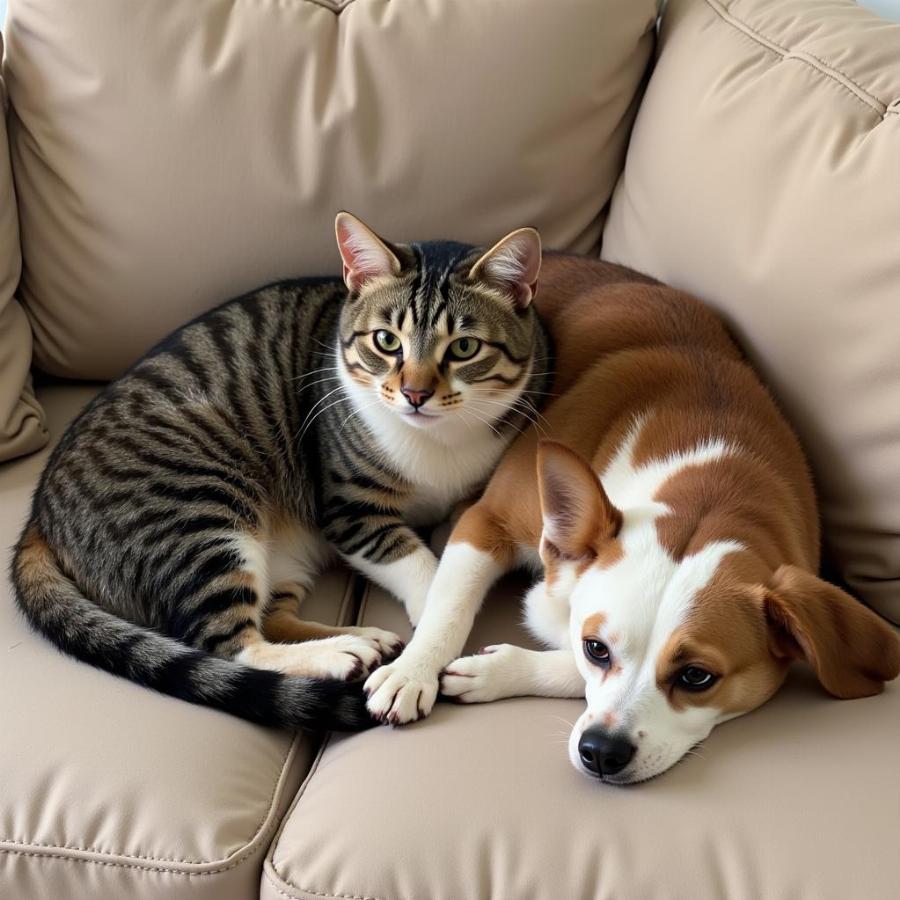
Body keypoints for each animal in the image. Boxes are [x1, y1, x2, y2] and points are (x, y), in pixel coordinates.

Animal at [12, 213, 548, 732]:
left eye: (464, 348)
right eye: (385, 341)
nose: (415, 394)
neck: (438, 442)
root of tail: (38, 514)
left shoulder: (474, 497)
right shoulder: (350, 510)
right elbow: (423, 568)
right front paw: (421, 650)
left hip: (279, 554)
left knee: (270, 616)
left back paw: (363, 641)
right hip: (198, 511)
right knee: (231, 647)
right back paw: (340, 653)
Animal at [366, 251, 900, 780]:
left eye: (697, 676)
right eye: (598, 649)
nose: (602, 752)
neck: (711, 489)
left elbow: (567, 666)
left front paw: (496, 671)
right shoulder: (488, 522)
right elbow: (448, 607)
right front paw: (414, 670)